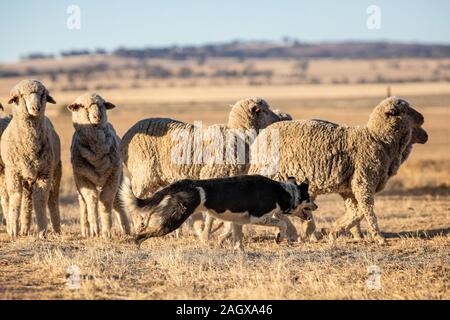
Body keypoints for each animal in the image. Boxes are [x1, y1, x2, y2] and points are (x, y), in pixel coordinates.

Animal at [1, 79, 61, 236]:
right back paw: (24, 228)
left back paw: (56, 229)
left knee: (52, 199)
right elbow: (16, 197)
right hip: (25, 177)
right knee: (26, 200)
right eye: (22, 95)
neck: (30, 146)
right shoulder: (13, 172)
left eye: (42, 94)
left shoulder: (44, 173)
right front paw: (13, 230)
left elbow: (40, 200)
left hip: (55, 171)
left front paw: (42, 230)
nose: (36, 108)